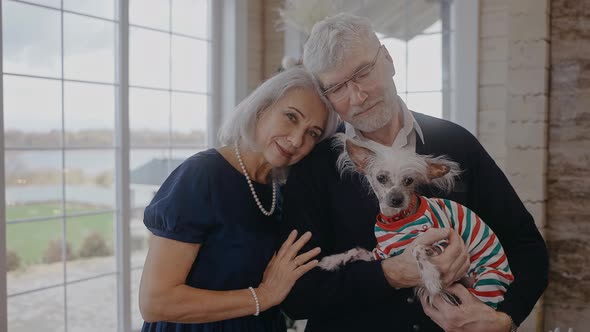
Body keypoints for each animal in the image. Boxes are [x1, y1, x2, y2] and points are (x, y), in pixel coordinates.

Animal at [320, 134, 512, 308]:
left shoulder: (442, 242)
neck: (396, 219)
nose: (397, 199)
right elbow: (355, 250)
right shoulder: (381, 254)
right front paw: (332, 260)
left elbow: (417, 248)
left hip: (488, 281)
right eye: (381, 178)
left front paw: (431, 278)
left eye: (409, 180)